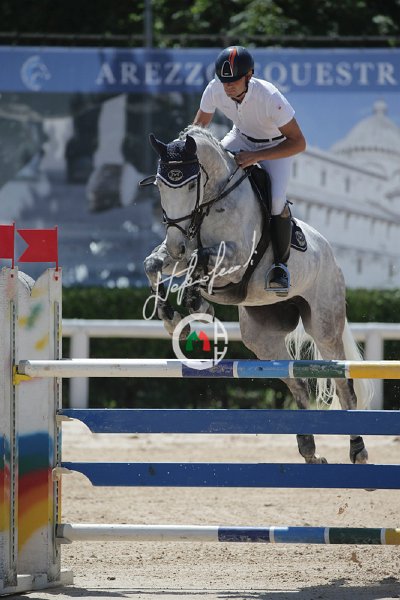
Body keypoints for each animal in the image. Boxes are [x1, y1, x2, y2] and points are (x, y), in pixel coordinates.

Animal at [140, 125, 372, 465]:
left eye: (191, 184)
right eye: (159, 185)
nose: (175, 245)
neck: (210, 205)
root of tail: (330, 253)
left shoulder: (235, 260)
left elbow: (201, 265)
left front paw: (197, 306)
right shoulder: (181, 252)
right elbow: (154, 264)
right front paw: (171, 317)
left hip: (324, 324)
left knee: (342, 383)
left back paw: (357, 449)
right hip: (261, 337)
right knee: (296, 381)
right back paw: (309, 450)